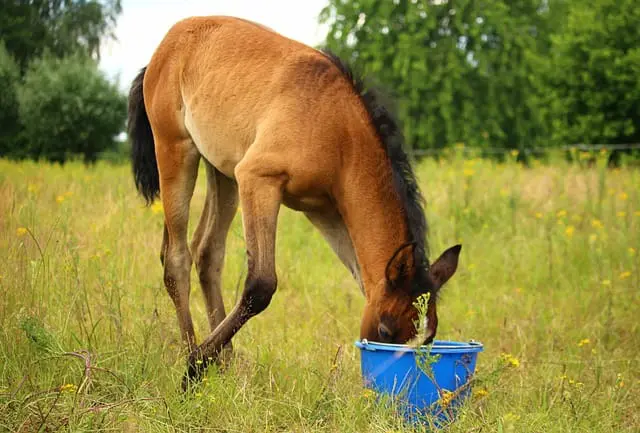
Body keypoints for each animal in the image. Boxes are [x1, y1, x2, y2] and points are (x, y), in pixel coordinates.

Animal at [127, 16, 462, 388]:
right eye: (387, 330)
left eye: (428, 340)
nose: (398, 377)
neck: (338, 134)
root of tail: (163, 48)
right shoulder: (259, 179)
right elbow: (260, 285)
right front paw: (193, 366)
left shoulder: (327, 212)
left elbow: (363, 280)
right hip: (175, 148)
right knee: (176, 258)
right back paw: (192, 360)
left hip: (222, 171)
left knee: (207, 252)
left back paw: (224, 366)